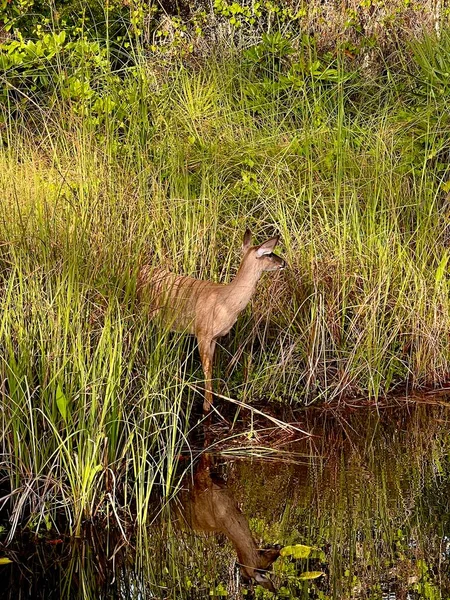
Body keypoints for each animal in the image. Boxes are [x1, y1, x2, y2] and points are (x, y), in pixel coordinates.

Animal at [137, 230, 286, 412]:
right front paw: (207, 405)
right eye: (270, 253)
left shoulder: (214, 337)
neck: (225, 302)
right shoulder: (202, 332)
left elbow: (212, 365)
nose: (283, 262)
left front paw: (212, 398)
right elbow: (206, 367)